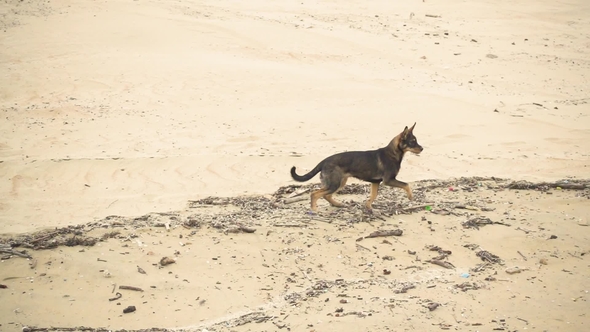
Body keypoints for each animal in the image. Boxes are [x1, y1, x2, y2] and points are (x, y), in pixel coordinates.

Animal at [292, 123, 426, 211]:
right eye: (412, 141)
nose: (422, 148)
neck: (392, 153)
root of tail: (324, 161)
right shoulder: (389, 180)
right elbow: (406, 185)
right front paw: (410, 196)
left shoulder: (376, 182)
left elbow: (373, 196)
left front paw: (369, 207)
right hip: (334, 183)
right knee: (315, 194)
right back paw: (314, 209)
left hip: (340, 182)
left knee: (326, 195)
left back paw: (337, 204)